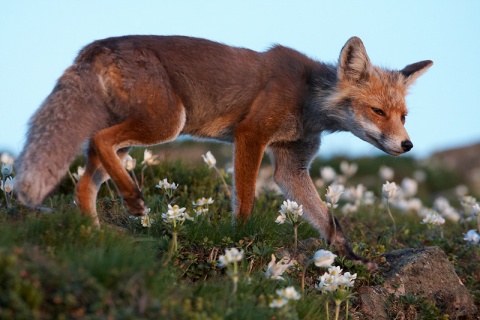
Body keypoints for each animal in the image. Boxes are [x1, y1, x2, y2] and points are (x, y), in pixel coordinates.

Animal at [16, 35, 434, 270]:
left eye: (403, 116)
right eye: (377, 111)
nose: (407, 144)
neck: (308, 101)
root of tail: (98, 45)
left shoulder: (291, 166)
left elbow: (330, 222)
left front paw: (353, 260)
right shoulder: (251, 135)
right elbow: (245, 200)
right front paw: (240, 240)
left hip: (135, 135)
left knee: (85, 181)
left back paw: (93, 233)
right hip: (165, 123)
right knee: (99, 141)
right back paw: (132, 199)